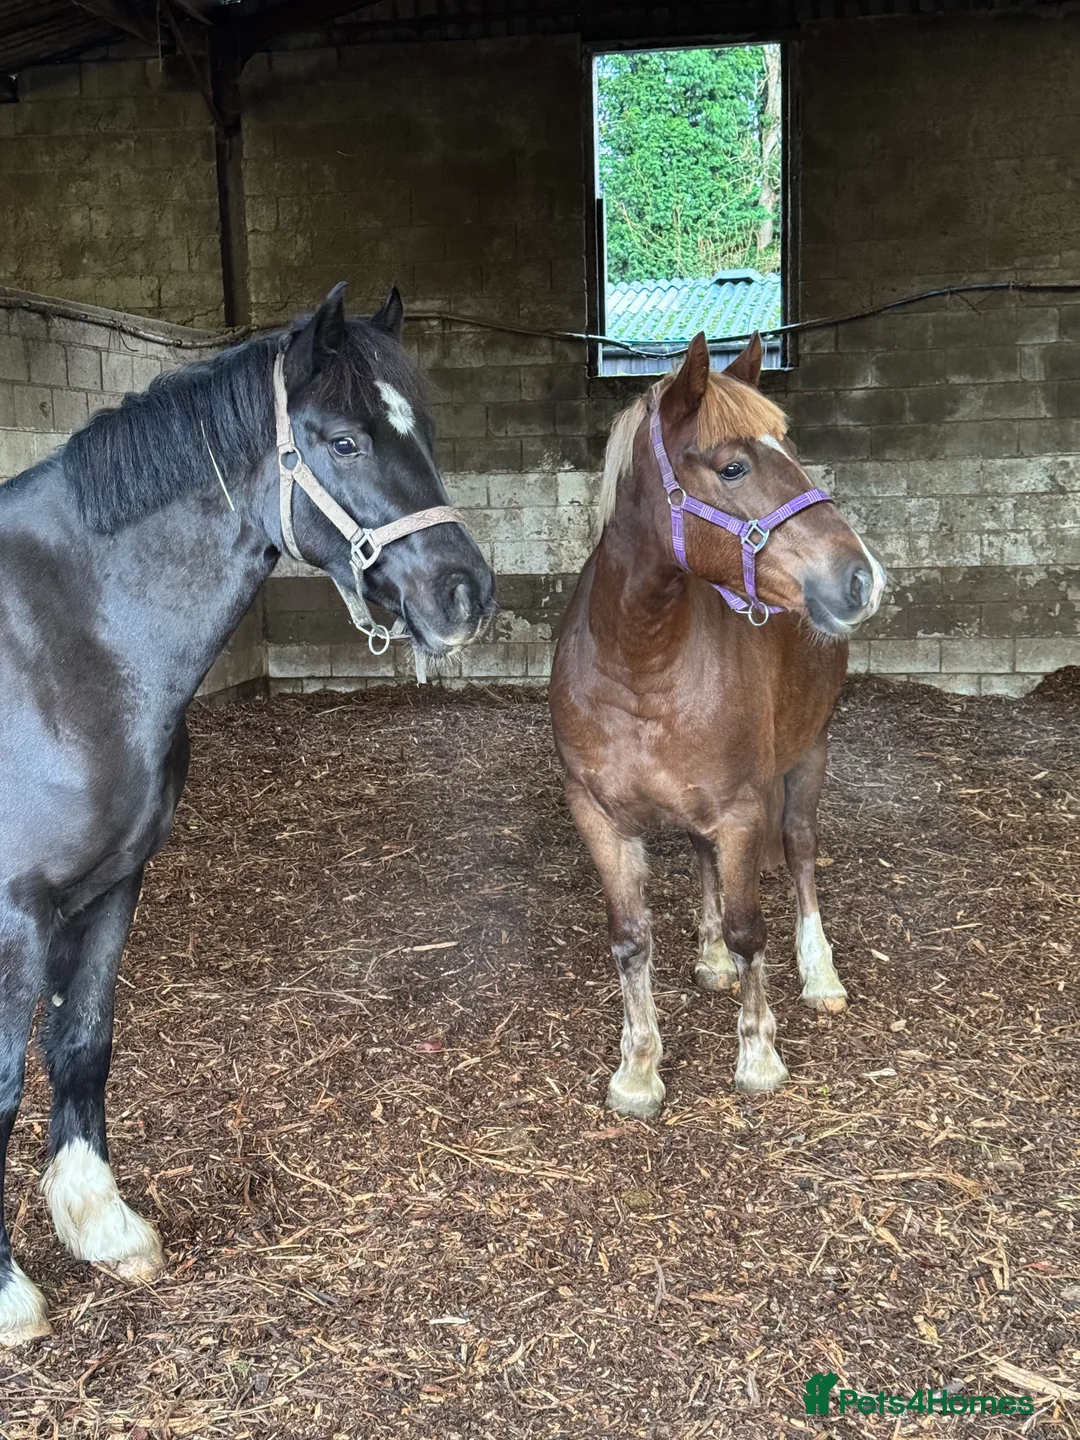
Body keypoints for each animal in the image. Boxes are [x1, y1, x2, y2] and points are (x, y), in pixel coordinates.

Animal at [0, 283, 494, 1343]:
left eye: (424, 430)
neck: (57, 642)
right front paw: (10, 1294)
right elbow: (1, 1081)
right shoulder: (16, 913)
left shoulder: (113, 885)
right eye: (343, 440)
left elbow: (81, 1045)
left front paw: (101, 1226)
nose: (466, 594)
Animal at [549, 332, 885, 1120]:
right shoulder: (599, 815)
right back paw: (707, 963)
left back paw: (819, 975)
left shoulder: (742, 809)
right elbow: (630, 938)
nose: (862, 579)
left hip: (809, 755)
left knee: (800, 854)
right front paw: (638, 1069)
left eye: (790, 449)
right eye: (733, 465)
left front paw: (759, 1056)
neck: (639, 659)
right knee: (703, 860)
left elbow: (748, 929)